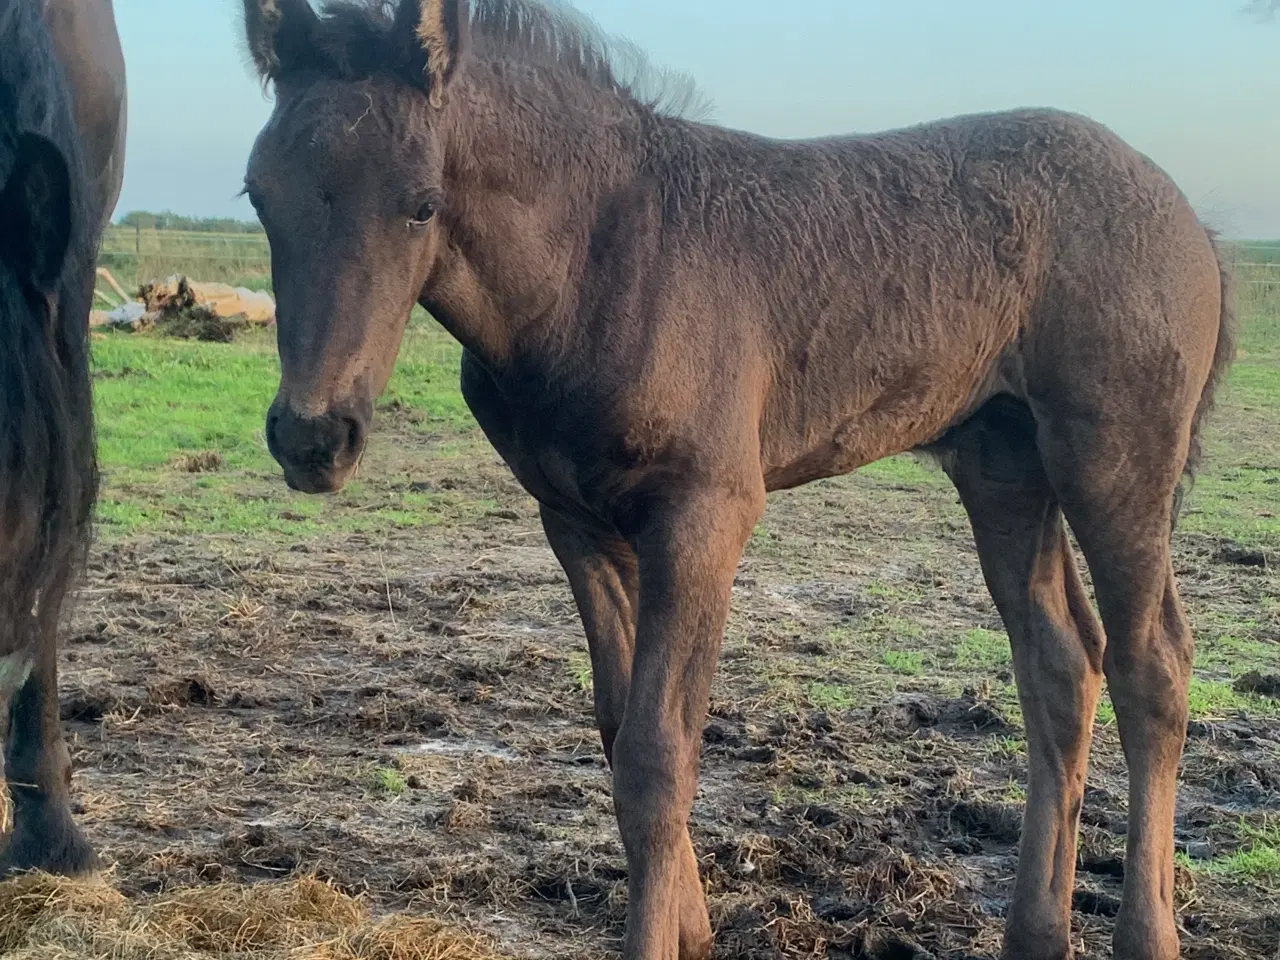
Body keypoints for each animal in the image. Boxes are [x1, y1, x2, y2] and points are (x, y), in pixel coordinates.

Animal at [238, 3, 1228, 957]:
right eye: (258, 193)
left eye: (421, 204)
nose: (313, 435)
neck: (598, 261)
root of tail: (1193, 220)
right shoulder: (576, 521)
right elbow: (618, 731)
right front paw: (693, 927)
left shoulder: (704, 512)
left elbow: (659, 751)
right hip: (1003, 464)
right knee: (1060, 664)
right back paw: (1034, 934)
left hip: (1115, 459)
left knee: (1151, 666)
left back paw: (1146, 936)